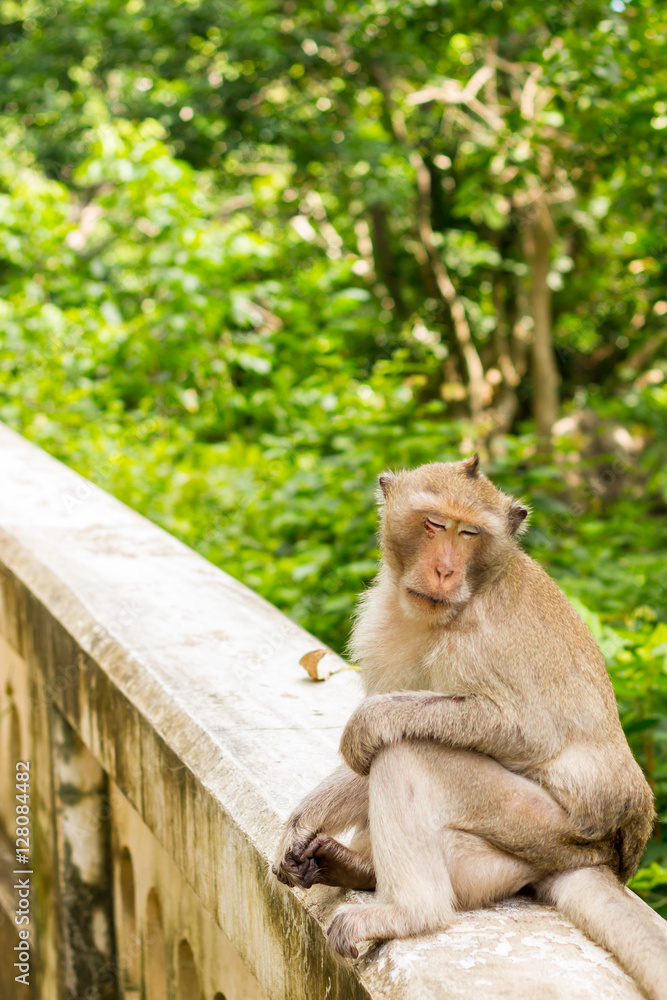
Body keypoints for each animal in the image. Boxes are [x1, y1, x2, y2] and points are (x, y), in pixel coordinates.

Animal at [273, 455, 667, 1000]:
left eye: (469, 533)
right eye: (434, 524)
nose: (444, 569)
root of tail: (602, 858)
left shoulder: (479, 637)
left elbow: (527, 731)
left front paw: (367, 722)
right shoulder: (382, 624)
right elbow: (368, 749)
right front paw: (302, 822)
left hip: (544, 828)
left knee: (408, 751)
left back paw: (409, 913)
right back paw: (356, 867)